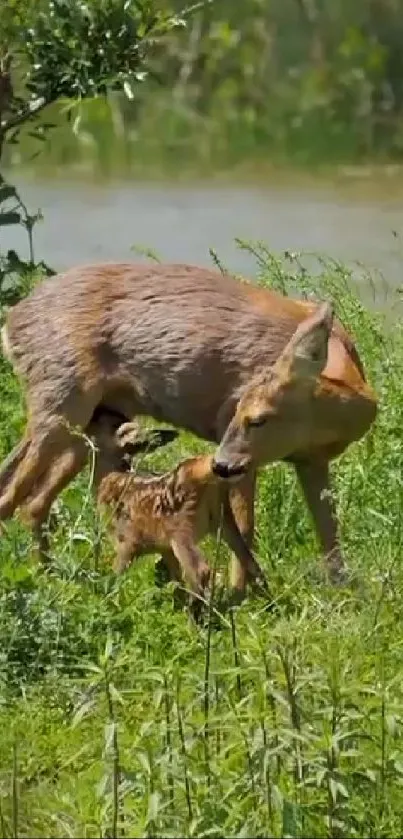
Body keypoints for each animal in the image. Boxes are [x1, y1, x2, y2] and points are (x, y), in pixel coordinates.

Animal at [0, 262, 378, 592]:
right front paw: (242, 593)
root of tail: (13, 319)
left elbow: (330, 536)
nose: (219, 464)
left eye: (257, 419)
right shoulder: (244, 454)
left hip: (91, 422)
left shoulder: (312, 461)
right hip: (59, 398)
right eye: (238, 409)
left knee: (32, 500)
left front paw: (343, 596)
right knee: (12, 494)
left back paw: (49, 572)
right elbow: (247, 527)